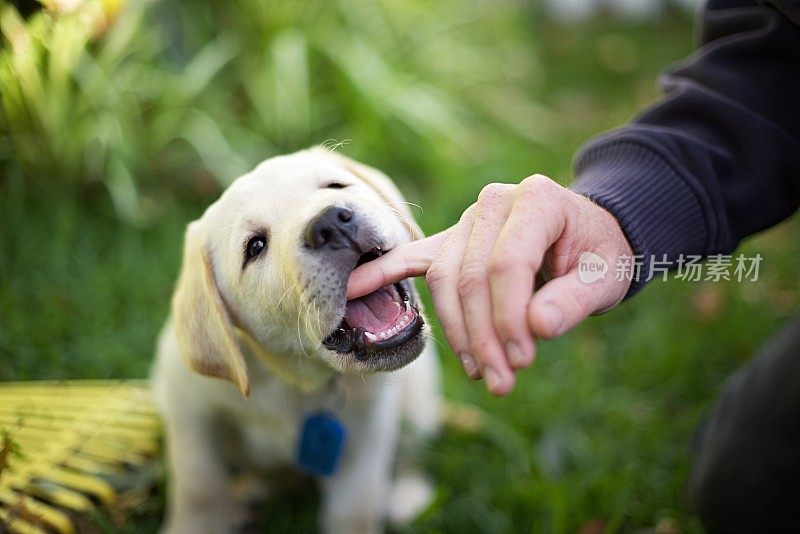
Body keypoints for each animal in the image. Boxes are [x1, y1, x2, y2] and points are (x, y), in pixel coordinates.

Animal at [153, 148, 440, 534]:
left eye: (335, 186)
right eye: (256, 246)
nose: (331, 222)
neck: (295, 380)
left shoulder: (369, 425)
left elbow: (355, 507)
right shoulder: (187, 408)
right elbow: (199, 485)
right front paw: (195, 524)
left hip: (419, 394)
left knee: (413, 449)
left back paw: (409, 496)